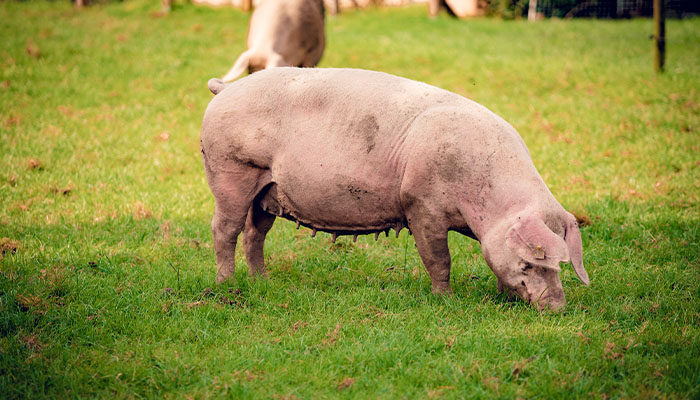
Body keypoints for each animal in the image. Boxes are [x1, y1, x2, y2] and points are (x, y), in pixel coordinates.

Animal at [202, 68, 592, 310]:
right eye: (530, 262)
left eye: (561, 267)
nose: (556, 307)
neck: (487, 206)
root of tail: (226, 88)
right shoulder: (422, 205)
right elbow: (439, 258)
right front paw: (446, 300)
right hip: (230, 171)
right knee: (224, 229)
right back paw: (226, 285)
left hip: (267, 190)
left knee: (255, 232)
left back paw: (262, 281)